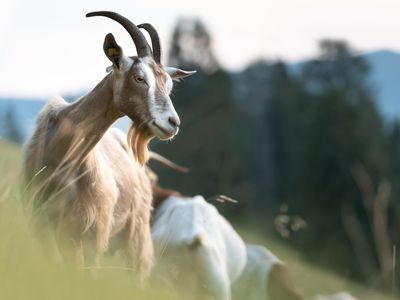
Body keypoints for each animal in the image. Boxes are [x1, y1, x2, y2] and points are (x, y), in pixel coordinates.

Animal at [23, 9, 195, 282]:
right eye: (139, 77)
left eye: (169, 85)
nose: (172, 123)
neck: (61, 155)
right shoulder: (38, 222)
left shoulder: (92, 234)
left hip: (135, 236)